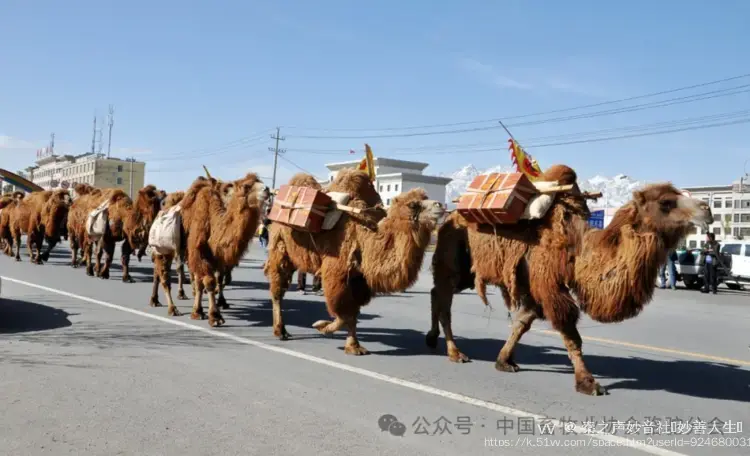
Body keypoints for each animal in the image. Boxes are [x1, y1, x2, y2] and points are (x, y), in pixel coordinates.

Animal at [264, 168, 446, 356]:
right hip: (280, 246)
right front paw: (322, 326)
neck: (365, 239)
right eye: (413, 205)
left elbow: (352, 314)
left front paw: (354, 346)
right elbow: (343, 312)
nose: (440, 205)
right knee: (277, 289)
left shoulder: (359, 280)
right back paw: (281, 331)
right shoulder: (336, 272)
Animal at [426, 165, 712, 396]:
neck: (579, 248)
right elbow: (570, 333)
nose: (707, 209)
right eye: (666, 202)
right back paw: (454, 353)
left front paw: (504, 361)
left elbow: (522, 322)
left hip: (468, 271)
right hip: (453, 253)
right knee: (444, 299)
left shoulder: (537, 287)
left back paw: (432, 339)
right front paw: (588, 383)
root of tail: (450, 215)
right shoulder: (548, 283)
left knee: (435, 293)